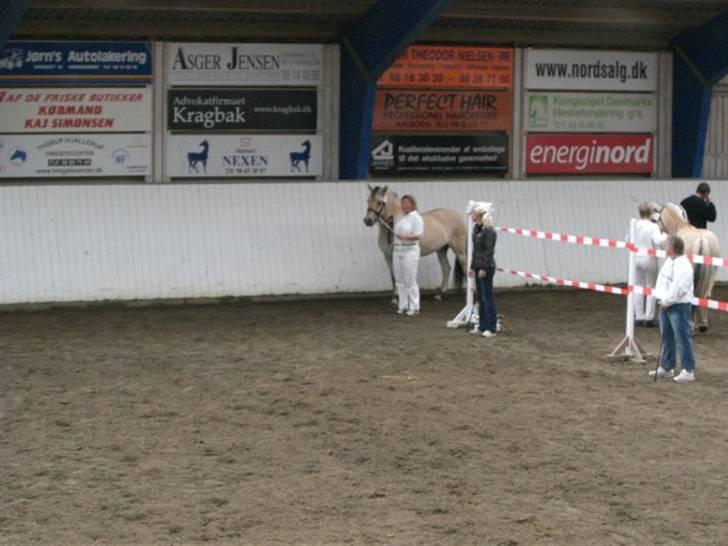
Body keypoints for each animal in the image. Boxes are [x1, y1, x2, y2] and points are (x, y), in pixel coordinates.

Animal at [656, 202, 720, 332]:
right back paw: (703, 324)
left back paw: (691, 324)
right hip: (711, 274)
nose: (659, 229)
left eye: (659, 217)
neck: (681, 226)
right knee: (705, 296)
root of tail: (701, 240)